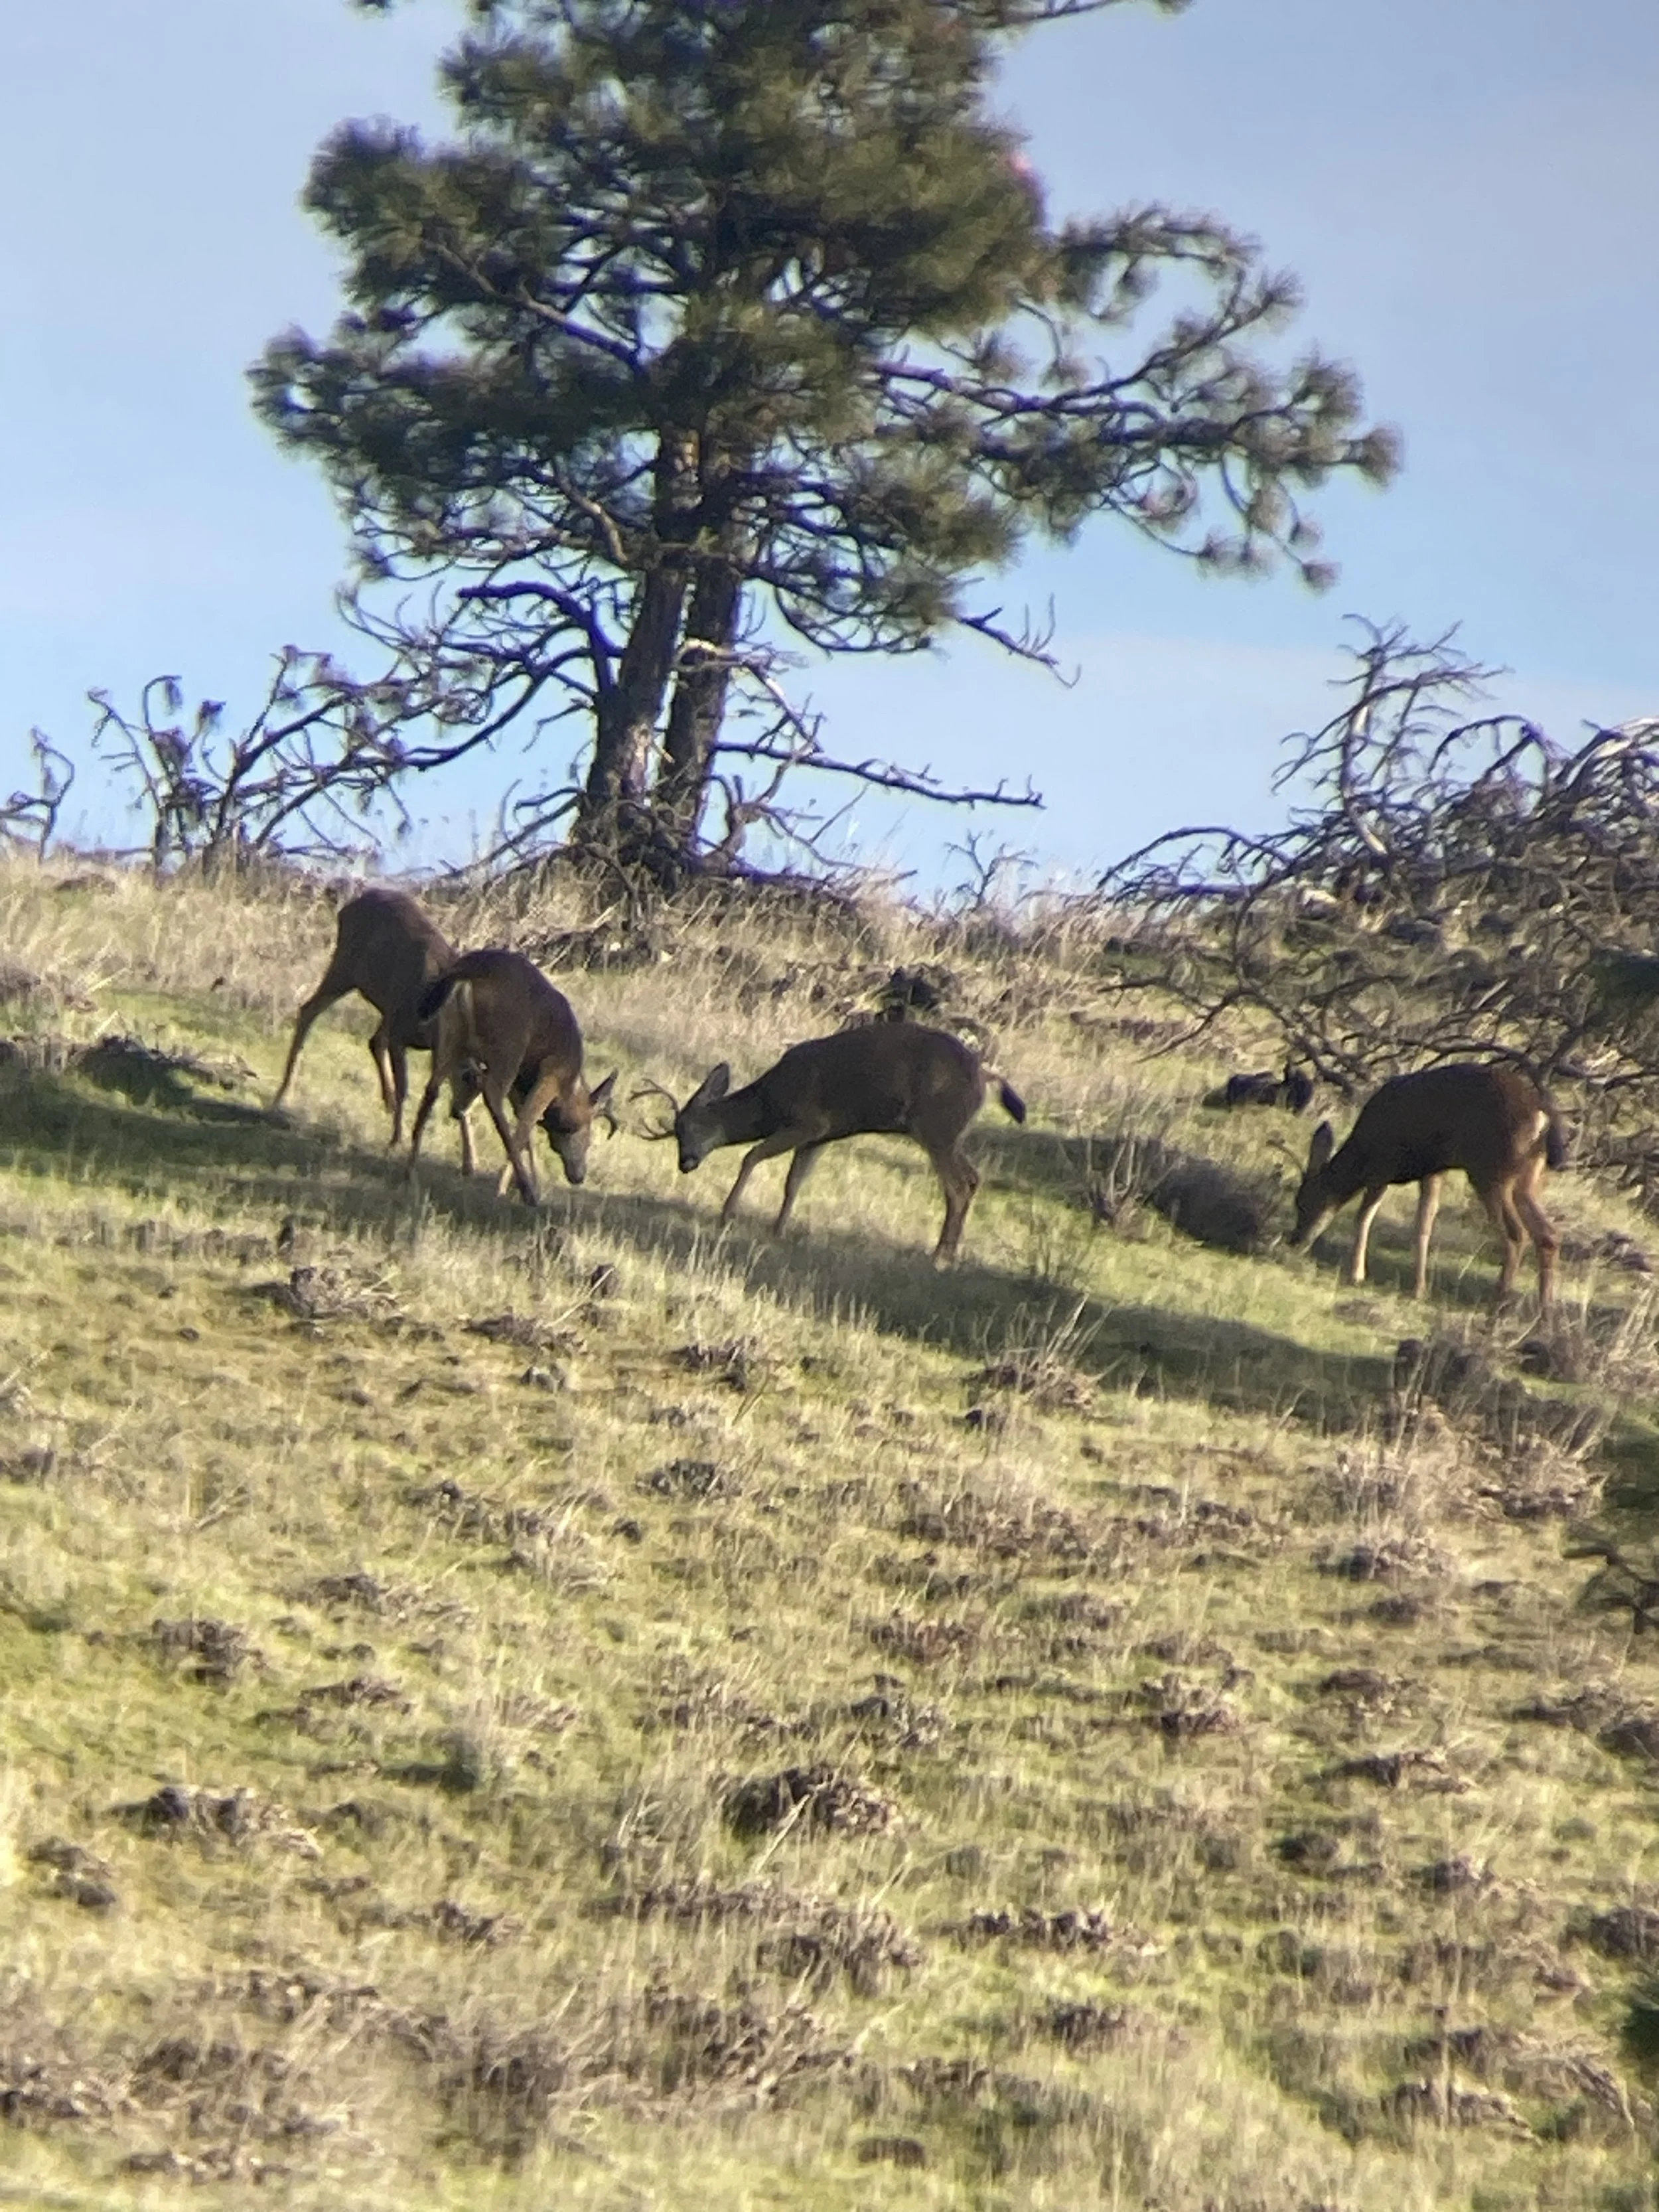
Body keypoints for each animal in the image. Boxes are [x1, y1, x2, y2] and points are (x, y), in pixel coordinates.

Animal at [273, 887, 460, 1151]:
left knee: (374, 1041)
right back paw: (284, 1093)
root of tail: (349, 905)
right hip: (345, 968)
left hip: (381, 1001)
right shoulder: (400, 1031)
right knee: (309, 1010)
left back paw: (387, 1102)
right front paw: (397, 1139)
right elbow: (405, 1087)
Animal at [406, 948, 616, 1204]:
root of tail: (467, 972)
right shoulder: (552, 1071)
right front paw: (516, 1187)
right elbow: (527, 1121)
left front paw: (531, 1184)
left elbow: (524, 1122)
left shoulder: (522, 1083)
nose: (579, 1176)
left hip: (449, 1037)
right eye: (589, 1137)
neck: (571, 1083)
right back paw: (524, 1190)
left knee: (432, 1088)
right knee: (493, 1096)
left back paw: (411, 1170)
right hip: (509, 1046)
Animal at [635, 1023, 1026, 1264]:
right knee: (973, 1178)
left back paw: (940, 1256)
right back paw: (950, 1253)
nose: (685, 1163)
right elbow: (794, 1183)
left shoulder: (807, 1121)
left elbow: (751, 1156)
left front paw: (727, 1215)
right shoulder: (820, 1136)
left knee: (957, 1185)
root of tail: (985, 1075)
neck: (771, 1101)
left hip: (936, 1126)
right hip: (950, 1132)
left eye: (689, 1127)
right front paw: (778, 1230)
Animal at [1288, 1061, 1568, 1314]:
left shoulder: (1383, 1165)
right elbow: (1423, 1225)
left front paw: (1356, 1275)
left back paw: (1499, 1302)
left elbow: (1364, 1216)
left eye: (1303, 1202)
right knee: (1548, 1234)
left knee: (1516, 1234)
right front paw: (1419, 1290)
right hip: (1528, 1177)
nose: (1295, 1241)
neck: (1362, 1151)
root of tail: (1542, 1116)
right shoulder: (1433, 1171)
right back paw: (1545, 1311)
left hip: (1490, 1171)